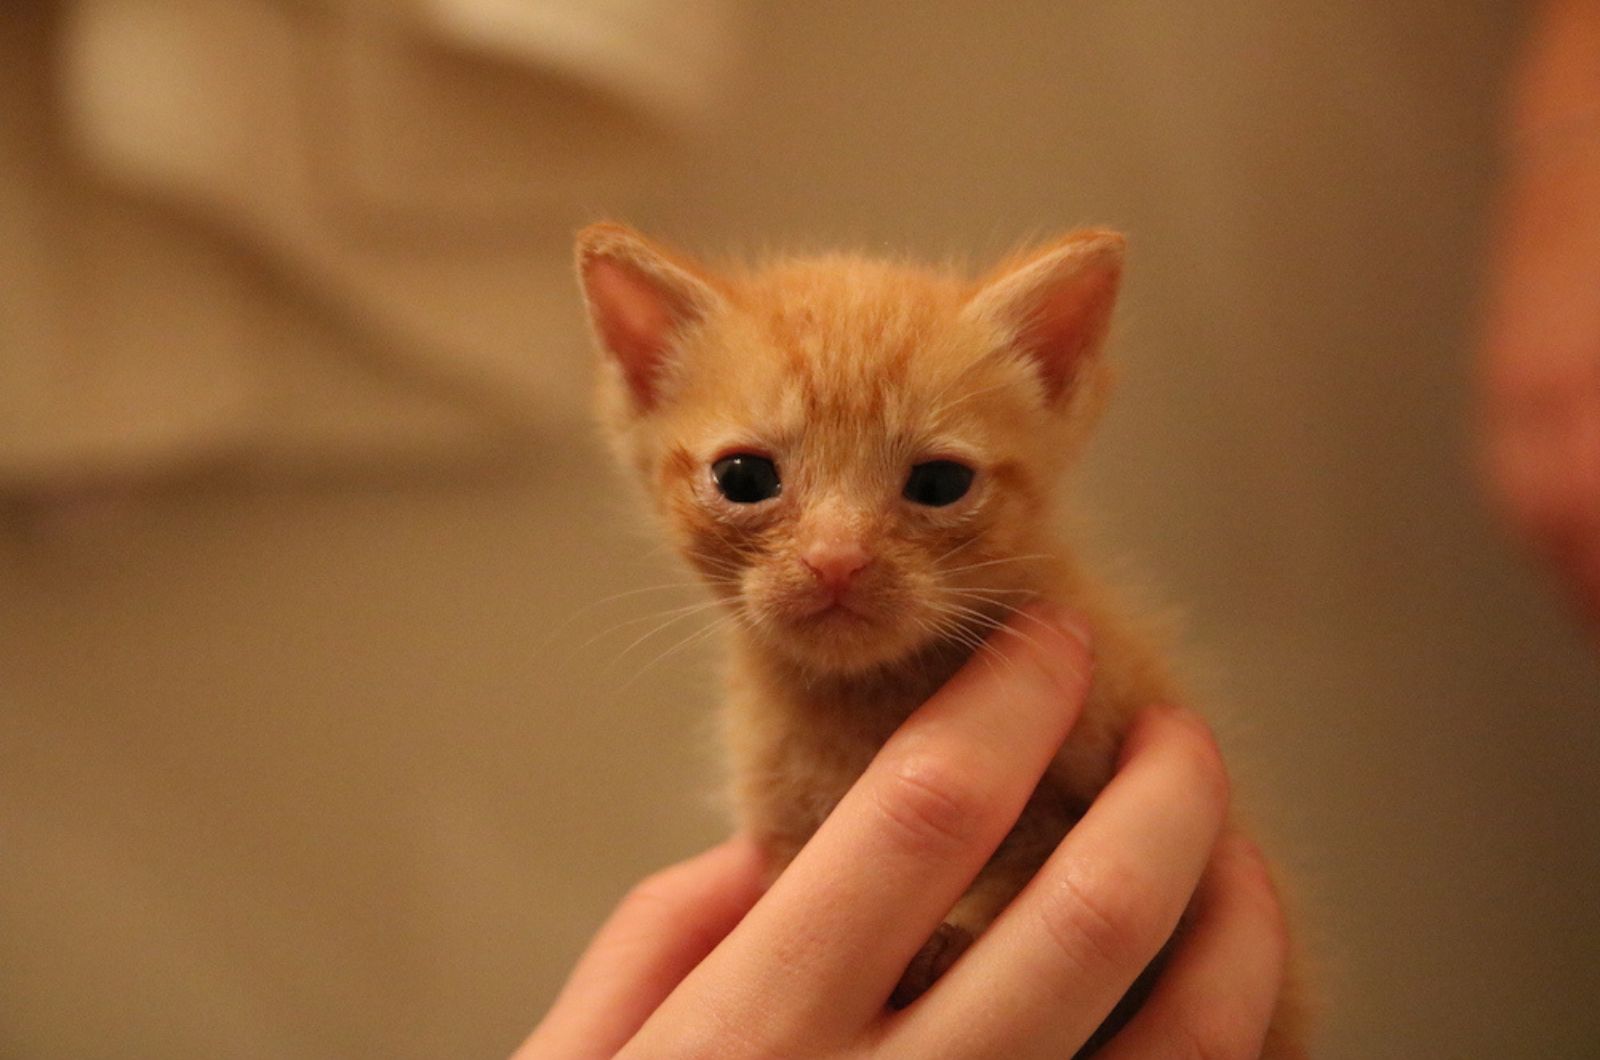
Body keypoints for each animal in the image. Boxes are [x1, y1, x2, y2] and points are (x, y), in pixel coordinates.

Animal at [572, 222, 1299, 1056]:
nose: (836, 560)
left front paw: (950, 935)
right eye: (744, 478)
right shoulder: (782, 835)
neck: (863, 707)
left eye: (941, 484)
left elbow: (1032, 847)